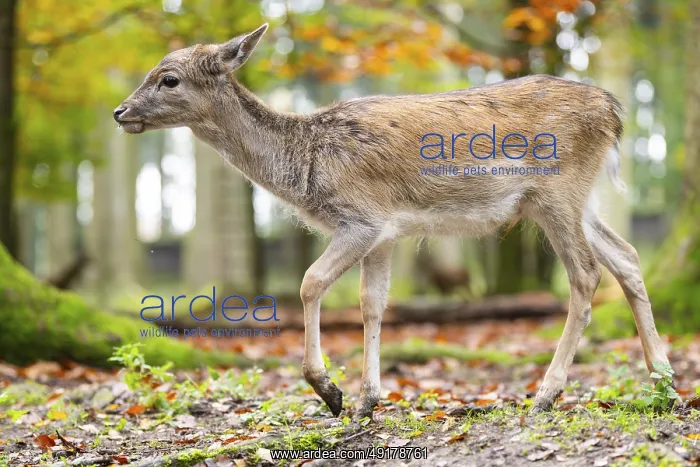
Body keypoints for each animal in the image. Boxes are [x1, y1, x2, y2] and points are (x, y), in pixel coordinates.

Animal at [114, 23, 672, 420]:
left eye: (168, 78)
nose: (120, 112)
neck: (305, 164)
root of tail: (614, 112)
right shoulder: (385, 231)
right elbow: (372, 304)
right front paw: (367, 400)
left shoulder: (360, 218)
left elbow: (310, 282)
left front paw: (330, 392)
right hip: (577, 200)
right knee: (627, 257)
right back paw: (664, 383)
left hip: (557, 193)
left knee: (585, 274)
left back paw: (546, 394)